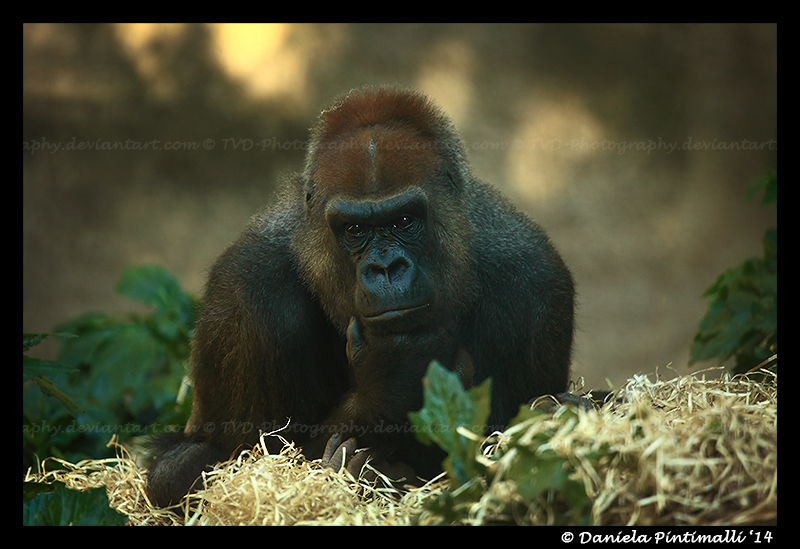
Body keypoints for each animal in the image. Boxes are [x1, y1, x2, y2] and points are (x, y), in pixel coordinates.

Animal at [145, 86, 576, 510]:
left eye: (405, 221)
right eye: (355, 229)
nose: (385, 268)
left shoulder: (534, 276)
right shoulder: (243, 291)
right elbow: (243, 454)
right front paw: (391, 380)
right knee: (183, 465)